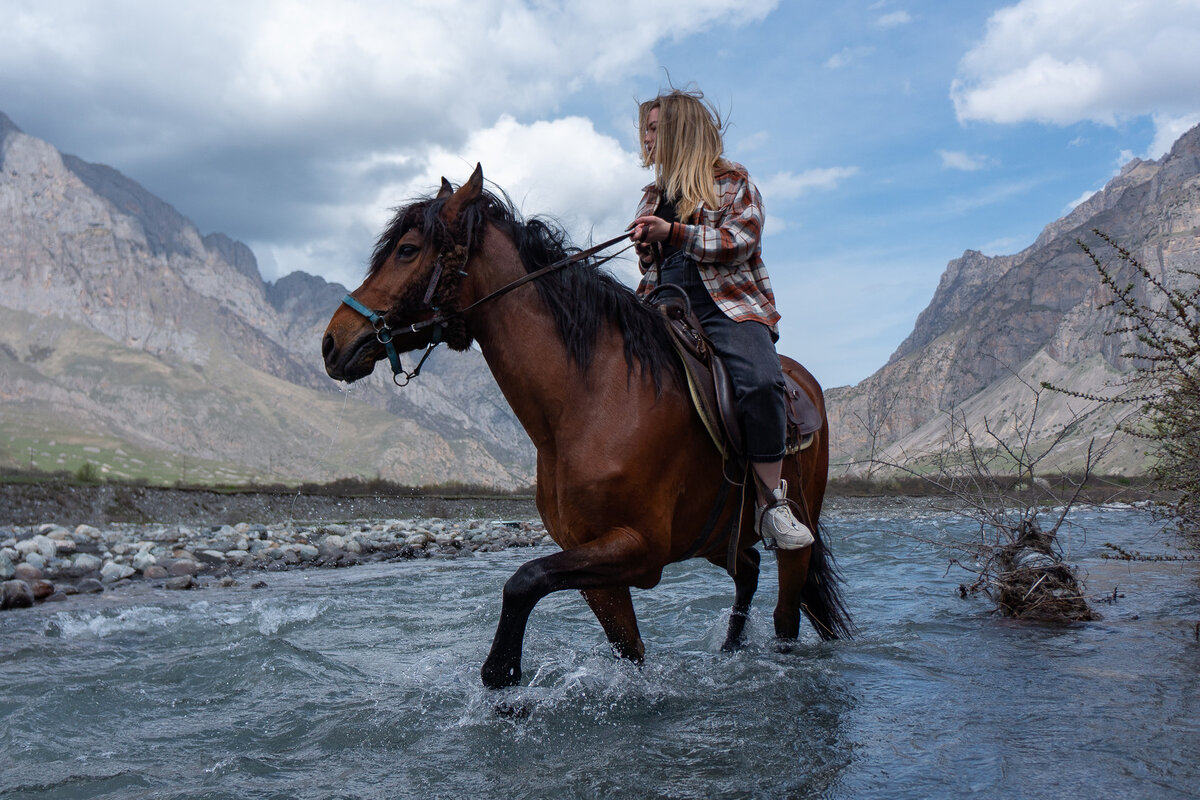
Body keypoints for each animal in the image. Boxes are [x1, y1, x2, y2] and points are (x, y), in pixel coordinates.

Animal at [321, 164, 854, 690]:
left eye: (407, 250)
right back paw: (729, 651)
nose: (331, 343)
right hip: (720, 534)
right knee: (748, 571)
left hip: (794, 529)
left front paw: (502, 671)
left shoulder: (638, 549)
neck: (591, 397)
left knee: (786, 615)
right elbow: (627, 649)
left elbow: (523, 582)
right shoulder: (593, 558)